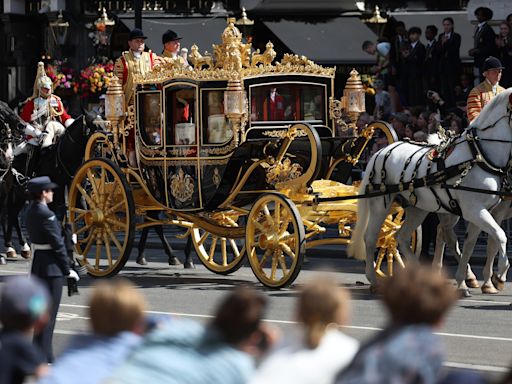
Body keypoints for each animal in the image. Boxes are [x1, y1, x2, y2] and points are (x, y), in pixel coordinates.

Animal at [350, 89, 512, 288]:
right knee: (371, 238)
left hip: (418, 208)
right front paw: (500, 273)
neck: (479, 155)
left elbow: (470, 245)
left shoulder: (481, 212)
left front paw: (465, 280)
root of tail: (380, 152)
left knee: (402, 237)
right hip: (381, 204)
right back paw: (373, 279)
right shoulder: (474, 210)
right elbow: (500, 235)